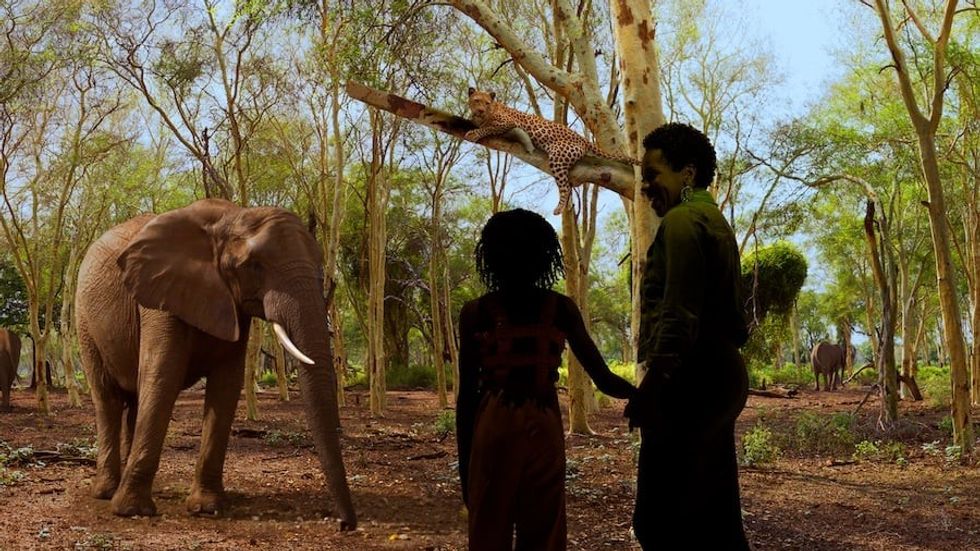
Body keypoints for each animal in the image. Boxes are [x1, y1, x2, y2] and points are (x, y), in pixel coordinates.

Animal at [74, 198, 356, 528]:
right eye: (253, 266)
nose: (345, 524)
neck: (231, 215)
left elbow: (226, 386)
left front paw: (207, 508)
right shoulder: (160, 298)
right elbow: (161, 377)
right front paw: (132, 511)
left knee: (132, 401)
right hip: (83, 322)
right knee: (107, 398)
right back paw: (106, 493)